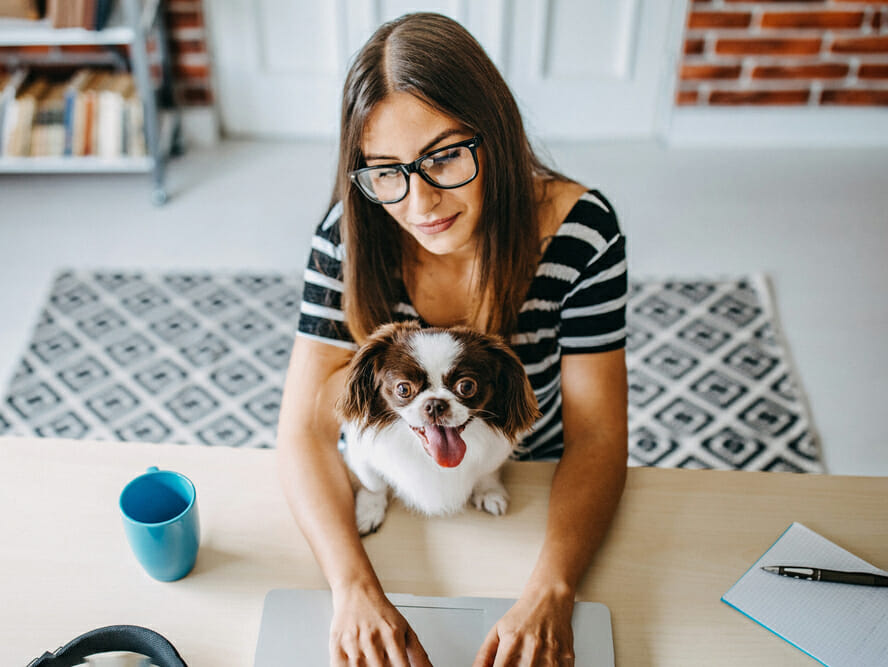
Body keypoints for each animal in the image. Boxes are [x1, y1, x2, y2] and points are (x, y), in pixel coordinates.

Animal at [336, 320, 536, 536]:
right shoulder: (360, 455)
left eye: (466, 386)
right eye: (403, 388)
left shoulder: (494, 455)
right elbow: (372, 484)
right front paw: (369, 511)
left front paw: (489, 492)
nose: (434, 404)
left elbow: (488, 473)